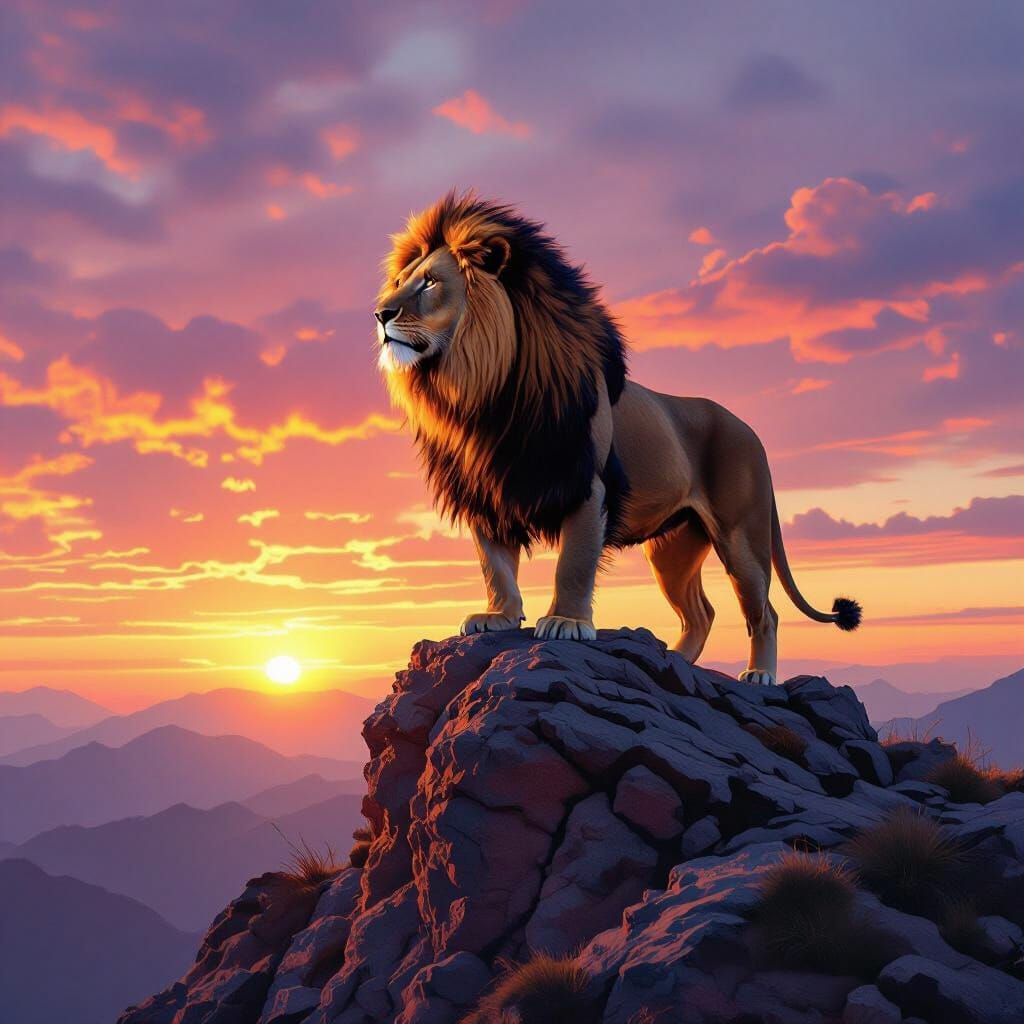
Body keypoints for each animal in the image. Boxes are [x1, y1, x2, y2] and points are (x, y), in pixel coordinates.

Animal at [374, 191, 860, 685]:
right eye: (398, 282)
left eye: (431, 282)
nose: (380, 313)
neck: (483, 395)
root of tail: (749, 430)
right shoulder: (487, 490)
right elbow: (495, 564)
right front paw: (499, 615)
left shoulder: (588, 485)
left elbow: (573, 562)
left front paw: (566, 622)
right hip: (673, 547)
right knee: (700, 613)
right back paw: (673, 661)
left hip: (742, 535)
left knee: (764, 611)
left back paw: (758, 674)